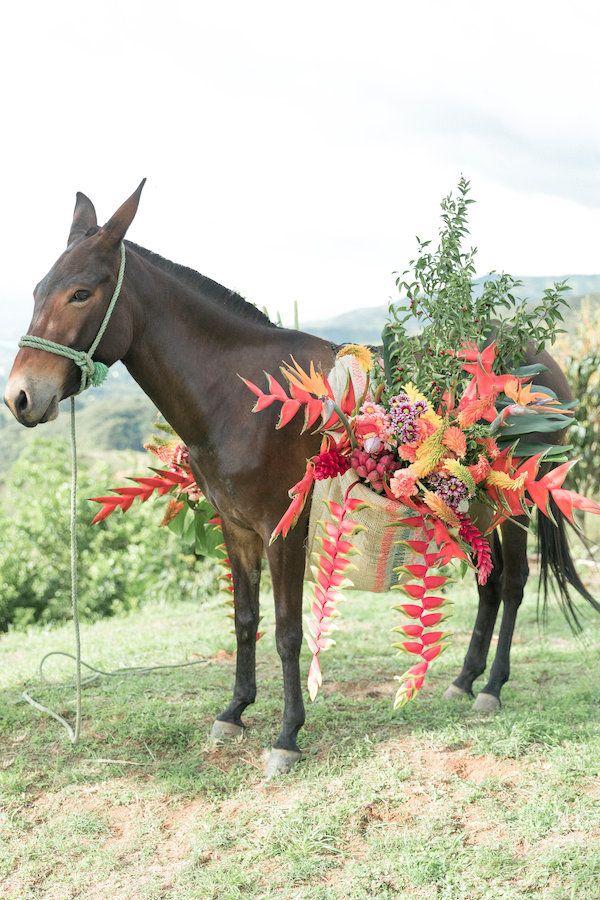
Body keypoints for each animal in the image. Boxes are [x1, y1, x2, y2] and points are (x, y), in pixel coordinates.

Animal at [3, 181, 596, 772]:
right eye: (36, 291)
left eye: (81, 293)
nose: (20, 397)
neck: (237, 398)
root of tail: (541, 361)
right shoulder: (236, 528)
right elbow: (245, 620)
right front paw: (235, 711)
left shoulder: (281, 531)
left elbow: (288, 631)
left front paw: (287, 734)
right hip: (475, 506)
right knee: (490, 585)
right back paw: (465, 680)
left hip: (515, 504)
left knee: (513, 584)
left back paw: (491, 687)